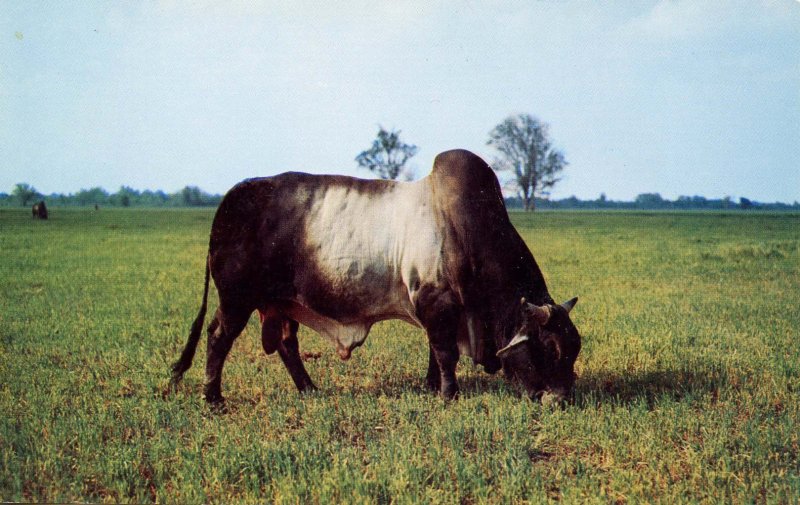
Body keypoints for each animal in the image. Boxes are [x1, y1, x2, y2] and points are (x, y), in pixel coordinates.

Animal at [170, 148, 580, 404]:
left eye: (573, 350)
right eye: (549, 348)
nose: (559, 400)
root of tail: (231, 200)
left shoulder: (435, 311)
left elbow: (434, 353)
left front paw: (431, 387)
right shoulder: (437, 304)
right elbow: (445, 353)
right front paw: (449, 394)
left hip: (281, 304)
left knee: (287, 345)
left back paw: (309, 389)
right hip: (235, 299)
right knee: (218, 338)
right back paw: (213, 397)